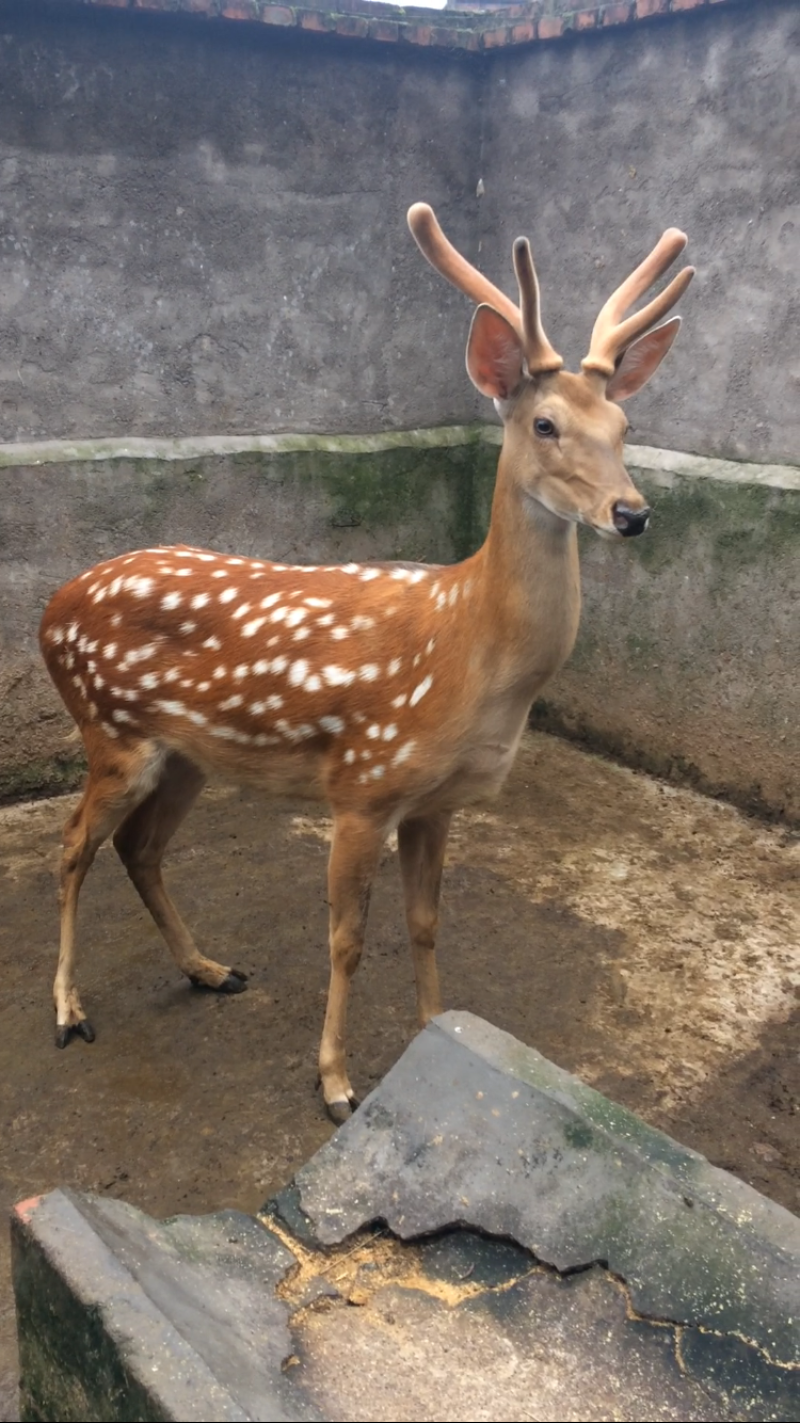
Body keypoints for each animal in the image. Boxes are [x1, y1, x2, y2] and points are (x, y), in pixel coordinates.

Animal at [39, 203, 693, 1122]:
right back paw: (69, 1010)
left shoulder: (435, 802)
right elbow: (346, 938)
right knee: (72, 846)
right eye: (545, 424)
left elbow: (425, 923)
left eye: (626, 428)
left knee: (140, 849)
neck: (469, 656)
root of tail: (50, 607)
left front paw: (433, 1032)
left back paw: (209, 967)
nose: (631, 512)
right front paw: (336, 1082)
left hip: (187, 755)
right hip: (111, 731)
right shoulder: (362, 785)